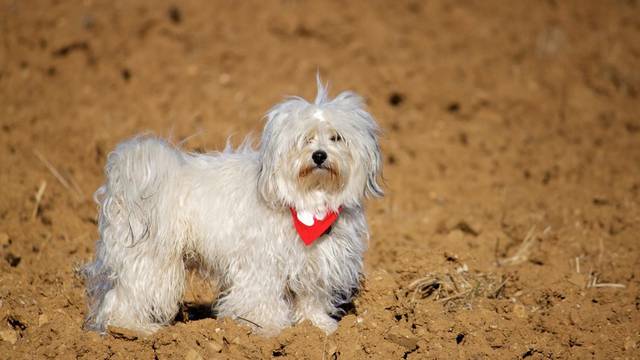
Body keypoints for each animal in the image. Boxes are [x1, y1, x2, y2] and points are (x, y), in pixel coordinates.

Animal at [79, 77, 380, 336]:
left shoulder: (317, 263)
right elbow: (262, 298)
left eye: (336, 138)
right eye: (305, 139)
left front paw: (317, 326)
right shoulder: (261, 263)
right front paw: (268, 329)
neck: (308, 203)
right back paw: (133, 329)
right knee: (125, 295)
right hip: (150, 259)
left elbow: (312, 297)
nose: (319, 155)